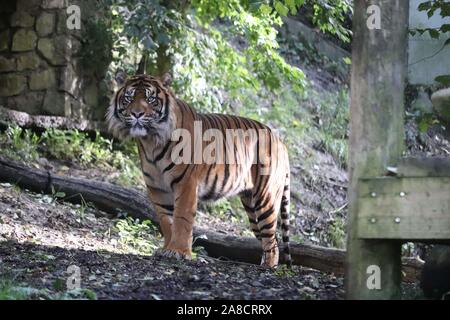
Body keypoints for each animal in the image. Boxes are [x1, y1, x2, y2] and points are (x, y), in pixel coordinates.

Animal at [107, 73, 294, 268]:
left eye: (151, 99)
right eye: (129, 97)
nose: (137, 114)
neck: (151, 141)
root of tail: (280, 141)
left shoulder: (186, 183)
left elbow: (182, 217)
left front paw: (178, 251)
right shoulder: (157, 188)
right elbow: (166, 220)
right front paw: (166, 249)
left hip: (266, 198)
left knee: (272, 241)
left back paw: (268, 268)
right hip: (251, 204)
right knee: (268, 238)